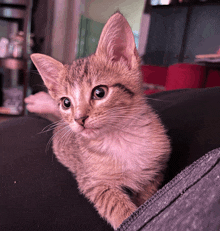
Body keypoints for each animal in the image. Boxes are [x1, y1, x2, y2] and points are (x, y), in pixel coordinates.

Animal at [30, 12, 171, 229]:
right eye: (66, 103)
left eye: (99, 92)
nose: (79, 119)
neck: (120, 137)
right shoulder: (93, 182)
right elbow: (119, 209)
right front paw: (128, 215)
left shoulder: (155, 169)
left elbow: (148, 197)